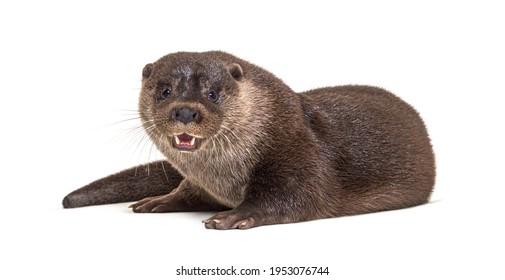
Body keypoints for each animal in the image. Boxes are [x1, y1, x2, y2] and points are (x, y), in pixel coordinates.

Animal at [62, 50, 434, 230]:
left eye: (212, 93)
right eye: (165, 91)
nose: (185, 111)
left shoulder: (298, 150)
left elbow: (299, 196)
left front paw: (233, 217)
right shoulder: (200, 181)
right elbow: (188, 190)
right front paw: (158, 200)